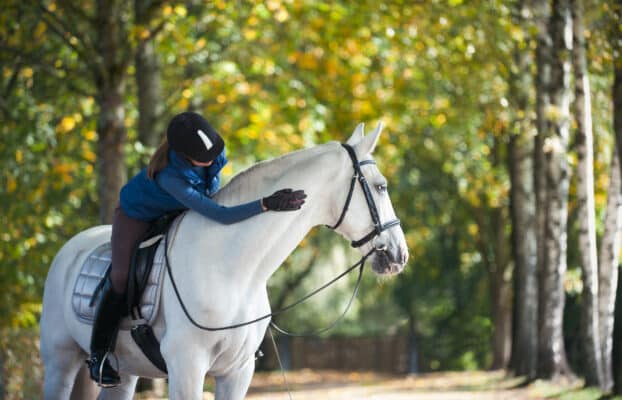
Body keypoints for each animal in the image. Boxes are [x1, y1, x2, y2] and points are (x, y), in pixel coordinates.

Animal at [39, 123, 410, 398]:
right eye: (381, 186)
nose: (399, 255)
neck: (233, 271)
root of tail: (72, 246)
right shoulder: (187, 367)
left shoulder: (238, 372)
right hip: (60, 362)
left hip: (127, 372)